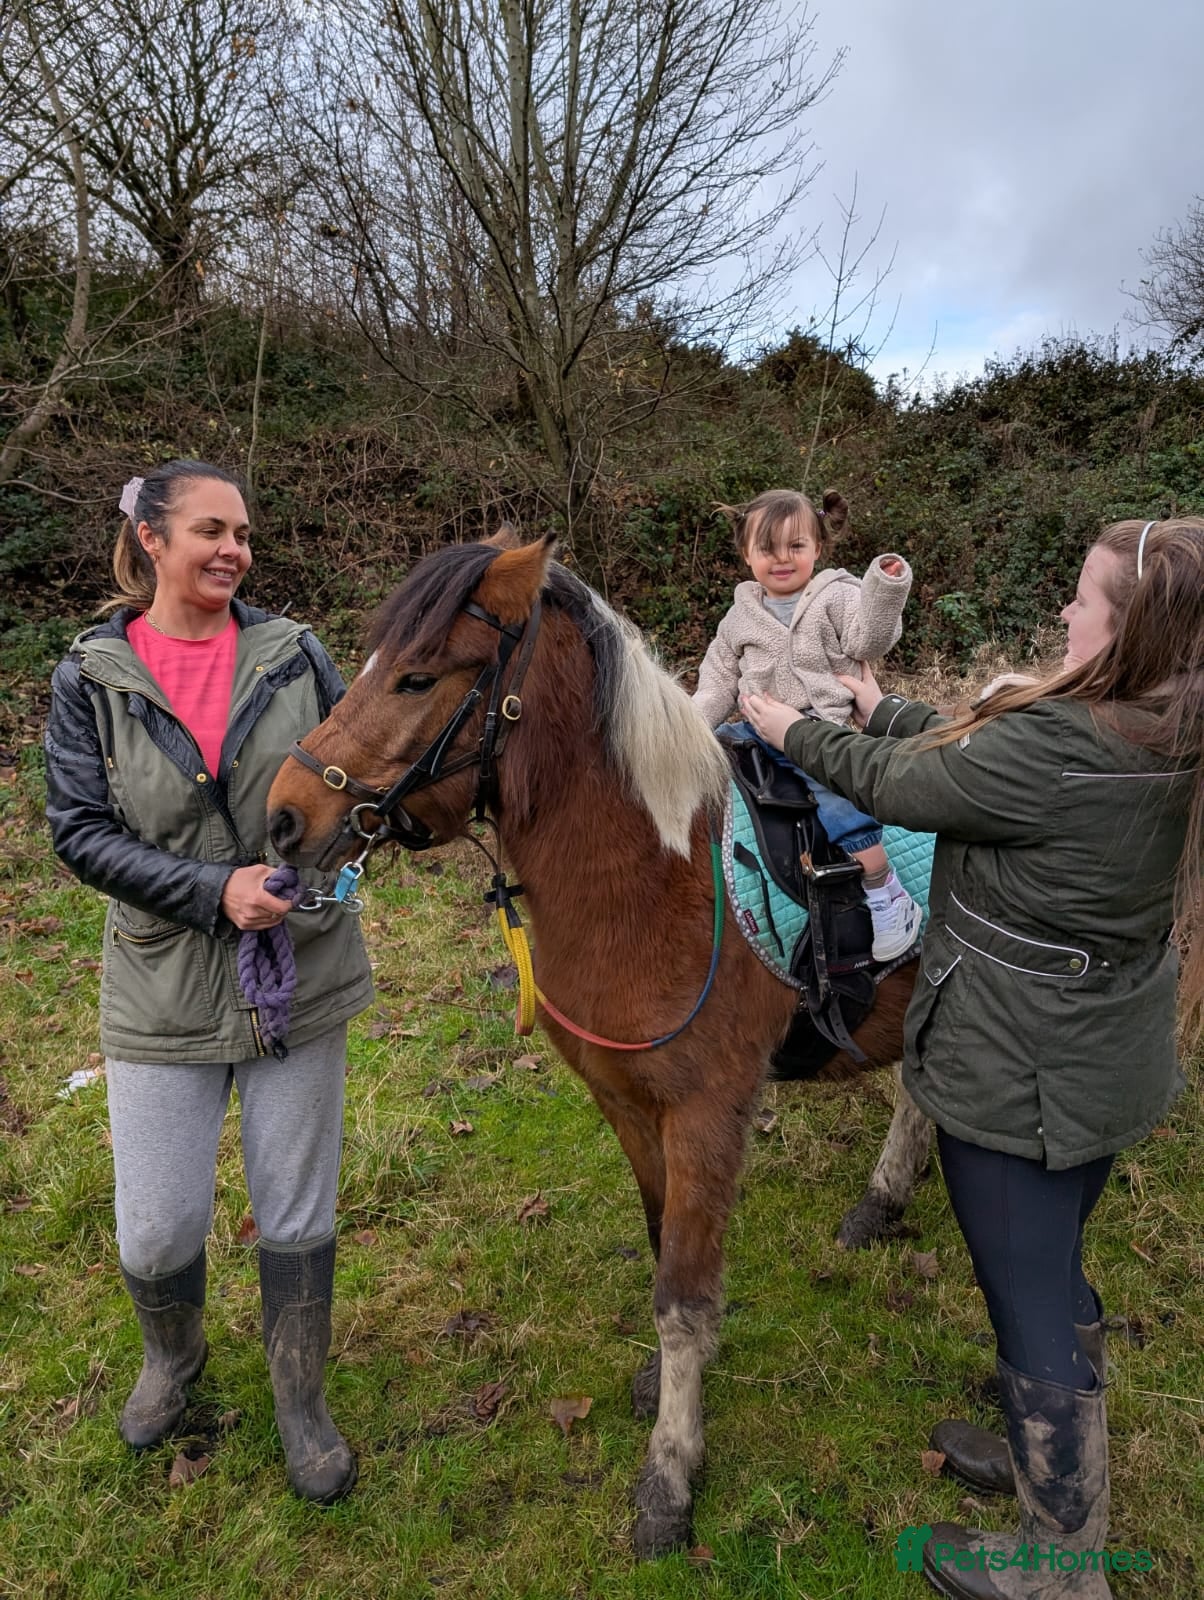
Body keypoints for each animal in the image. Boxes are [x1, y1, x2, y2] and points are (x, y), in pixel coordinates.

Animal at [266, 533, 930, 1557]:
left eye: (417, 676)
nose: (285, 816)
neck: (657, 878)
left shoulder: (706, 1116)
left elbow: (683, 1298)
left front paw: (670, 1477)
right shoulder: (626, 1106)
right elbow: (663, 1254)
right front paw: (669, 1394)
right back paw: (883, 1200)